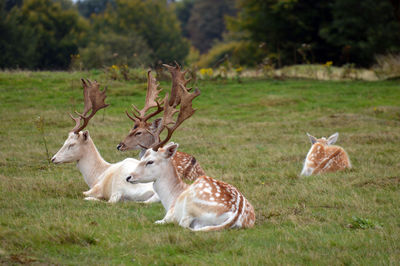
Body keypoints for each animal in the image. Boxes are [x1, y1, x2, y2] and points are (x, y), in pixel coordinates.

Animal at [126, 84, 256, 232]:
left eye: (150, 161)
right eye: (141, 158)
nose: (129, 177)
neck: (171, 198)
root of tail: (236, 214)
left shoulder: (169, 215)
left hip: (190, 207)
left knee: (185, 224)